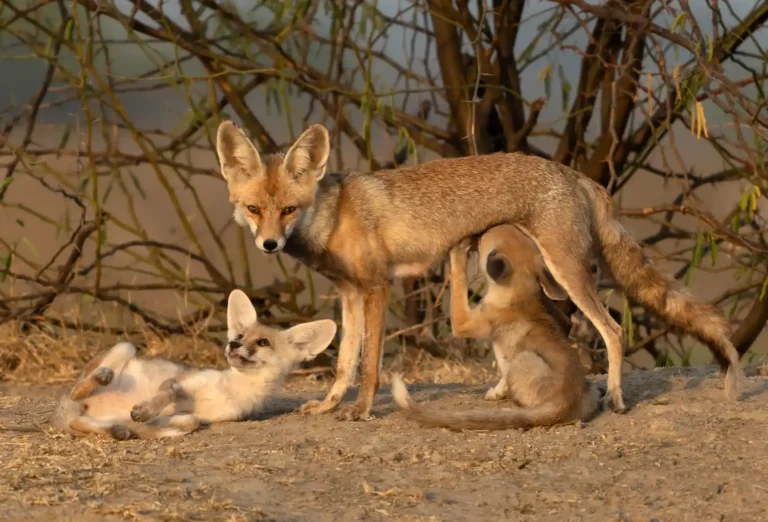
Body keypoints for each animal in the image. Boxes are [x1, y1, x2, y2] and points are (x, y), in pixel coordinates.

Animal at [49, 290, 336, 440]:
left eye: (263, 342)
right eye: (240, 335)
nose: (233, 344)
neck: (231, 389)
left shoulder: (206, 417)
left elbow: (188, 422)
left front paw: (148, 426)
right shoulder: (181, 381)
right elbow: (167, 393)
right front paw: (146, 410)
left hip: (90, 413)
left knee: (79, 424)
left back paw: (118, 430)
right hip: (126, 347)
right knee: (78, 391)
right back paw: (103, 378)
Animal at [391, 225, 601, 430]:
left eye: (487, 237)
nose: (478, 233)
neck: (519, 294)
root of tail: (568, 403)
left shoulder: (465, 323)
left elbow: (459, 280)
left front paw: (457, 250)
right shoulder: (557, 315)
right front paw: (496, 392)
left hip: (524, 358)